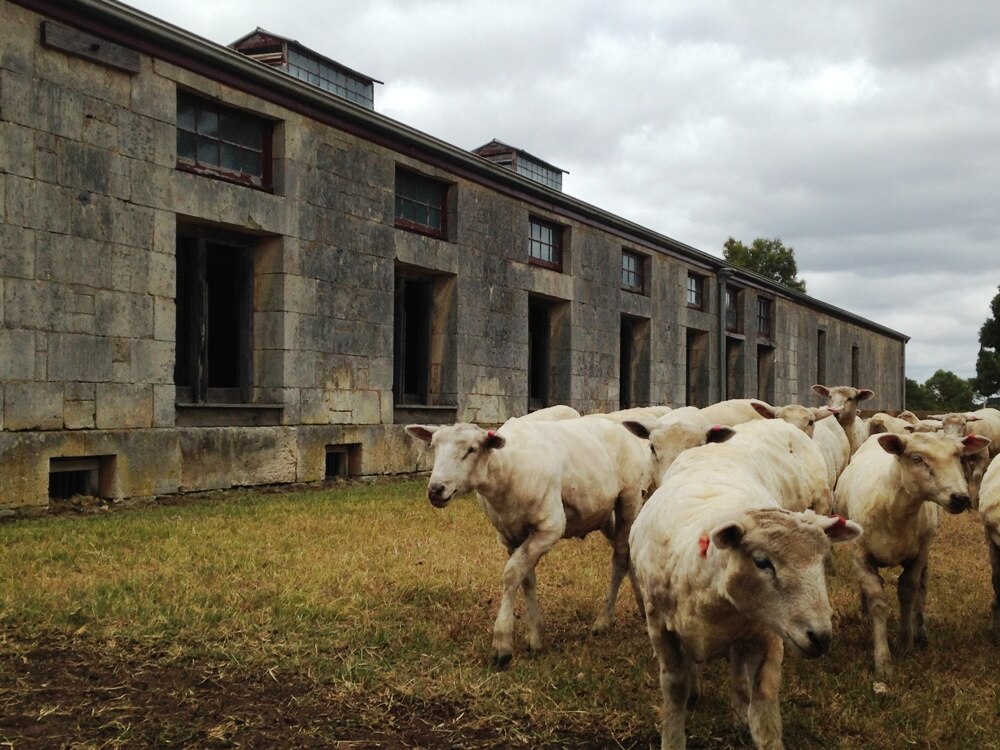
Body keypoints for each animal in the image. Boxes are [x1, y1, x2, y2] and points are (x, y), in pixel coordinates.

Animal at [405, 416, 650, 667]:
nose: (436, 490)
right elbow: (526, 580)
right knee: (628, 551)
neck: (506, 467)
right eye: (433, 446)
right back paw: (642, 606)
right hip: (602, 512)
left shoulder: (549, 527)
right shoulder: (510, 535)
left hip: (629, 498)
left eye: (471, 449)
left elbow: (512, 574)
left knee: (620, 557)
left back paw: (604, 620)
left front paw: (502, 644)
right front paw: (535, 637)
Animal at [630, 433, 862, 750]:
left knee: (739, 667)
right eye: (762, 562)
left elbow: (764, 709)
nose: (821, 637)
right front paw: (673, 737)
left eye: (821, 560)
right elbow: (675, 689)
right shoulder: (659, 627)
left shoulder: (769, 633)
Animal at [834, 431, 990, 679]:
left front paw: (904, 643)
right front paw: (883, 660)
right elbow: (878, 602)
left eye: (958, 456)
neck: (896, 512)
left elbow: (908, 591)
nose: (961, 498)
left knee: (922, 586)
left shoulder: (918, 555)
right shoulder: (861, 556)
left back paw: (920, 631)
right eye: (917, 459)